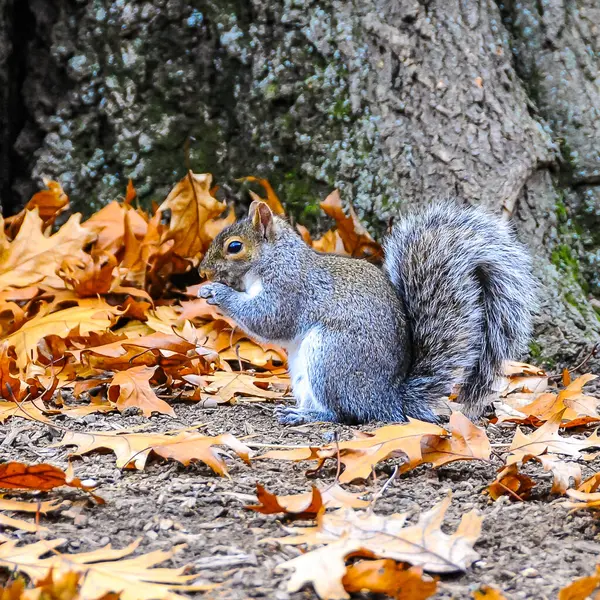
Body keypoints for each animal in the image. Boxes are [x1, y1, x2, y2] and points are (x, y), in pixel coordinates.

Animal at [198, 199, 536, 424]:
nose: (202, 272)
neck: (277, 258)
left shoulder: (290, 288)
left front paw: (218, 293)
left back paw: (308, 416)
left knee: (341, 413)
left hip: (331, 358)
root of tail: (389, 400)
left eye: (234, 246)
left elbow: (269, 319)